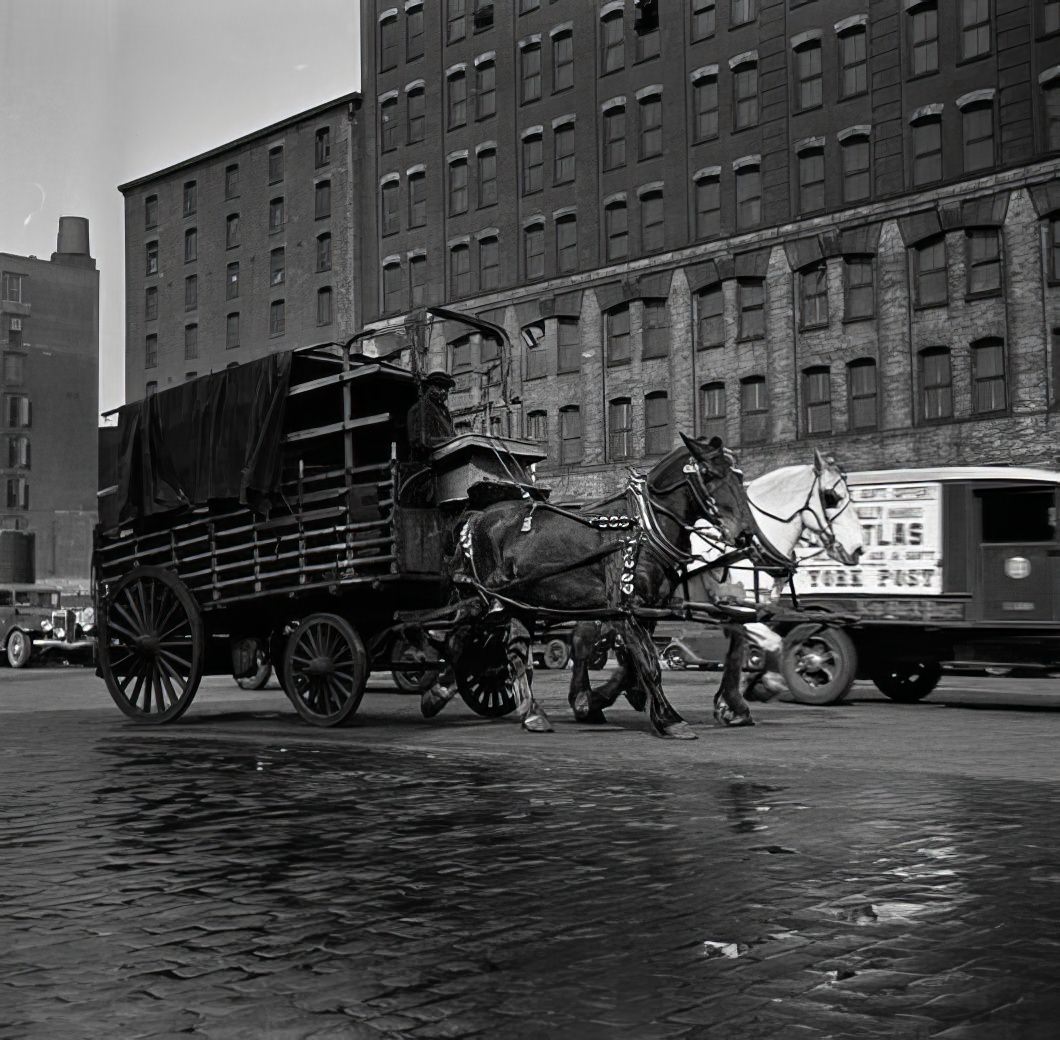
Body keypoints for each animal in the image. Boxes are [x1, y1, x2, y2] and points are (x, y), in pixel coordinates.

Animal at [417, 430, 758, 737]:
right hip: (483, 597)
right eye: (709, 474)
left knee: (513, 651)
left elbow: (634, 664)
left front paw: (601, 701)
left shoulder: (644, 612)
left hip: (518, 603)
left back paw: (532, 714)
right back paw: (437, 693)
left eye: (738, 475)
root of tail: (477, 517)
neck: (642, 529)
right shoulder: (626, 610)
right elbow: (649, 664)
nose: (746, 533)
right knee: (458, 637)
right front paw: (669, 719)